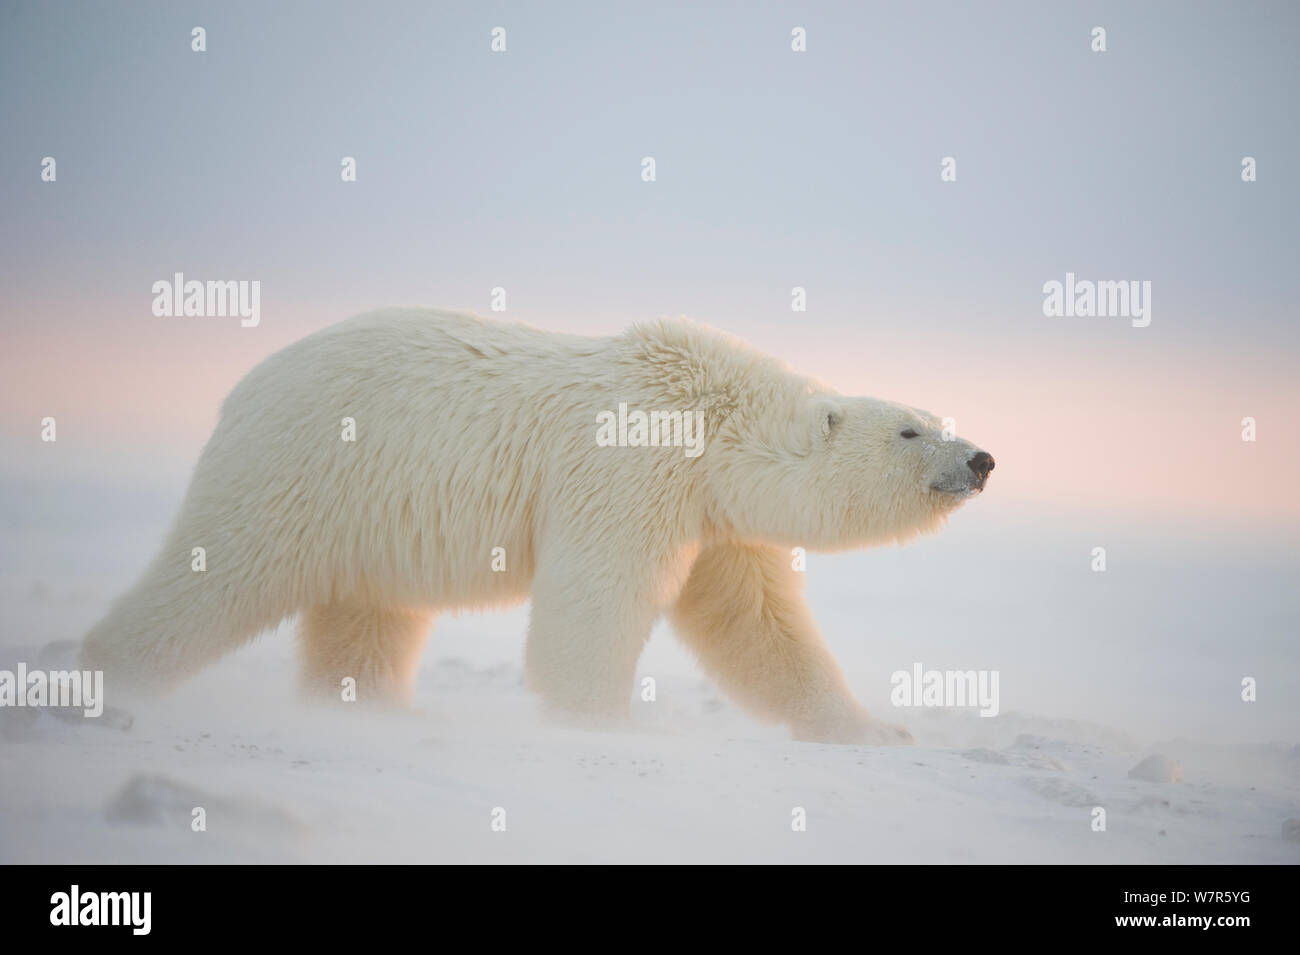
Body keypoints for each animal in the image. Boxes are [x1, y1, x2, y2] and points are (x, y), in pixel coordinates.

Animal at [81, 310, 993, 743]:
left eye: (934, 414)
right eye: (910, 429)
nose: (982, 457)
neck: (708, 415)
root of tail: (246, 382)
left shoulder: (714, 518)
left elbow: (759, 626)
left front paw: (876, 729)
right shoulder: (632, 470)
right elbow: (598, 594)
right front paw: (604, 721)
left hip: (369, 511)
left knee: (368, 615)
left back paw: (377, 711)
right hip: (303, 468)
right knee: (219, 575)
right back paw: (106, 676)